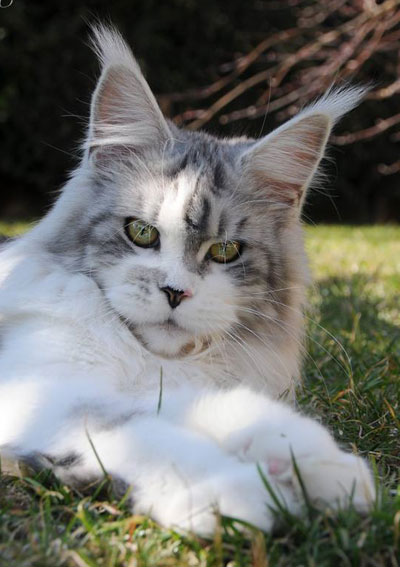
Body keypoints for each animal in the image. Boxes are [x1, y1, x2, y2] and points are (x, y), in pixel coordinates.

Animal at [0, 23, 376, 536]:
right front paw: (236, 492)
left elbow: (231, 410)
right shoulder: (49, 394)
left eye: (225, 251)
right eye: (141, 232)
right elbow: (149, 434)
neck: (152, 363)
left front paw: (317, 465)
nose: (175, 292)